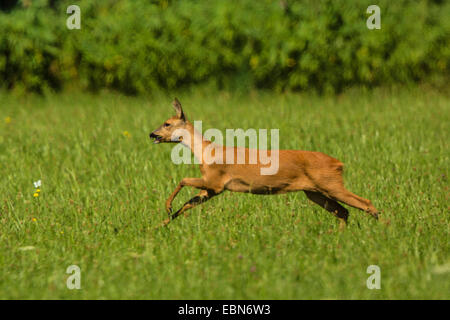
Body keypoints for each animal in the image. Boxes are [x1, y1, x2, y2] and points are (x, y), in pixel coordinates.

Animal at [151, 98, 380, 228]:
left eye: (167, 123)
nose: (152, 134)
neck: (206, 151)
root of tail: (339, 163)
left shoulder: (215, 181)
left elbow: (183, 180)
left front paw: (167, 207)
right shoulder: (213, 189)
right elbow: (187, 205)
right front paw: (159, 225)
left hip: (330, 183)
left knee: (366, 203)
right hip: (314, 192)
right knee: (344, 211)